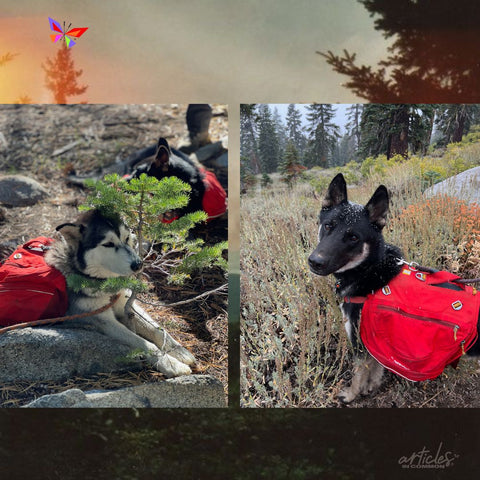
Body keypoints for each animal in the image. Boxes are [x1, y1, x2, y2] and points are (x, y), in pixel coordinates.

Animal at [45, 210, 195, 378]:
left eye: (127, 238)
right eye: (108, 244)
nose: (138, 264)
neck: (103, 283)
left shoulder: (125, 302)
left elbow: (157, 330)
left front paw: (178, 350)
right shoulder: (102, 320)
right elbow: (145, 343)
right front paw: (171, 364)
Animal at [308, 174, 480, 404]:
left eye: (353, 237)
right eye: (328, 226)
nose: (315, 262)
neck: (370, 269)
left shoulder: (360, 345)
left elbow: (357, 375)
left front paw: (351, 395)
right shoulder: (375, 343)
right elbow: (376, 370)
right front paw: (370, 387)